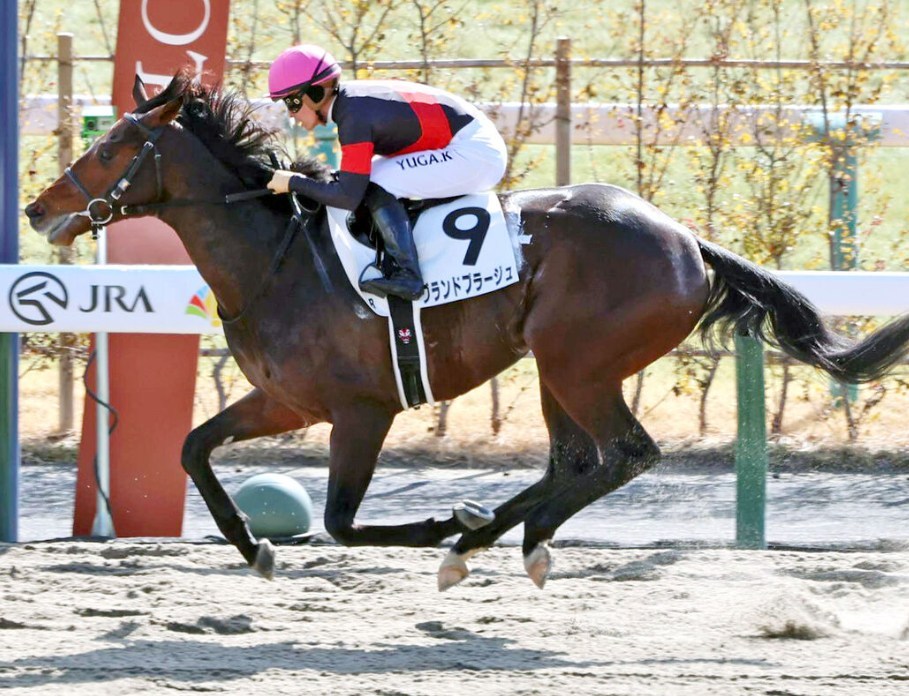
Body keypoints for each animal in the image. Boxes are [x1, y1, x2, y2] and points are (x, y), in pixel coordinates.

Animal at [25, 71, 909, 590]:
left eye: (112, 146)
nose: (37, 209)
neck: (275, 260)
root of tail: (687, 239)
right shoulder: (287, 402)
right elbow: (192, 449)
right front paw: (255, 548)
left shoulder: (361, 410)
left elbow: (341, 523)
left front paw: (439, 523)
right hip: (558, 367)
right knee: (576, 459)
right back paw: (490, 538)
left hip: (577, 363)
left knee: (624, 453)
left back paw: (491, 535)